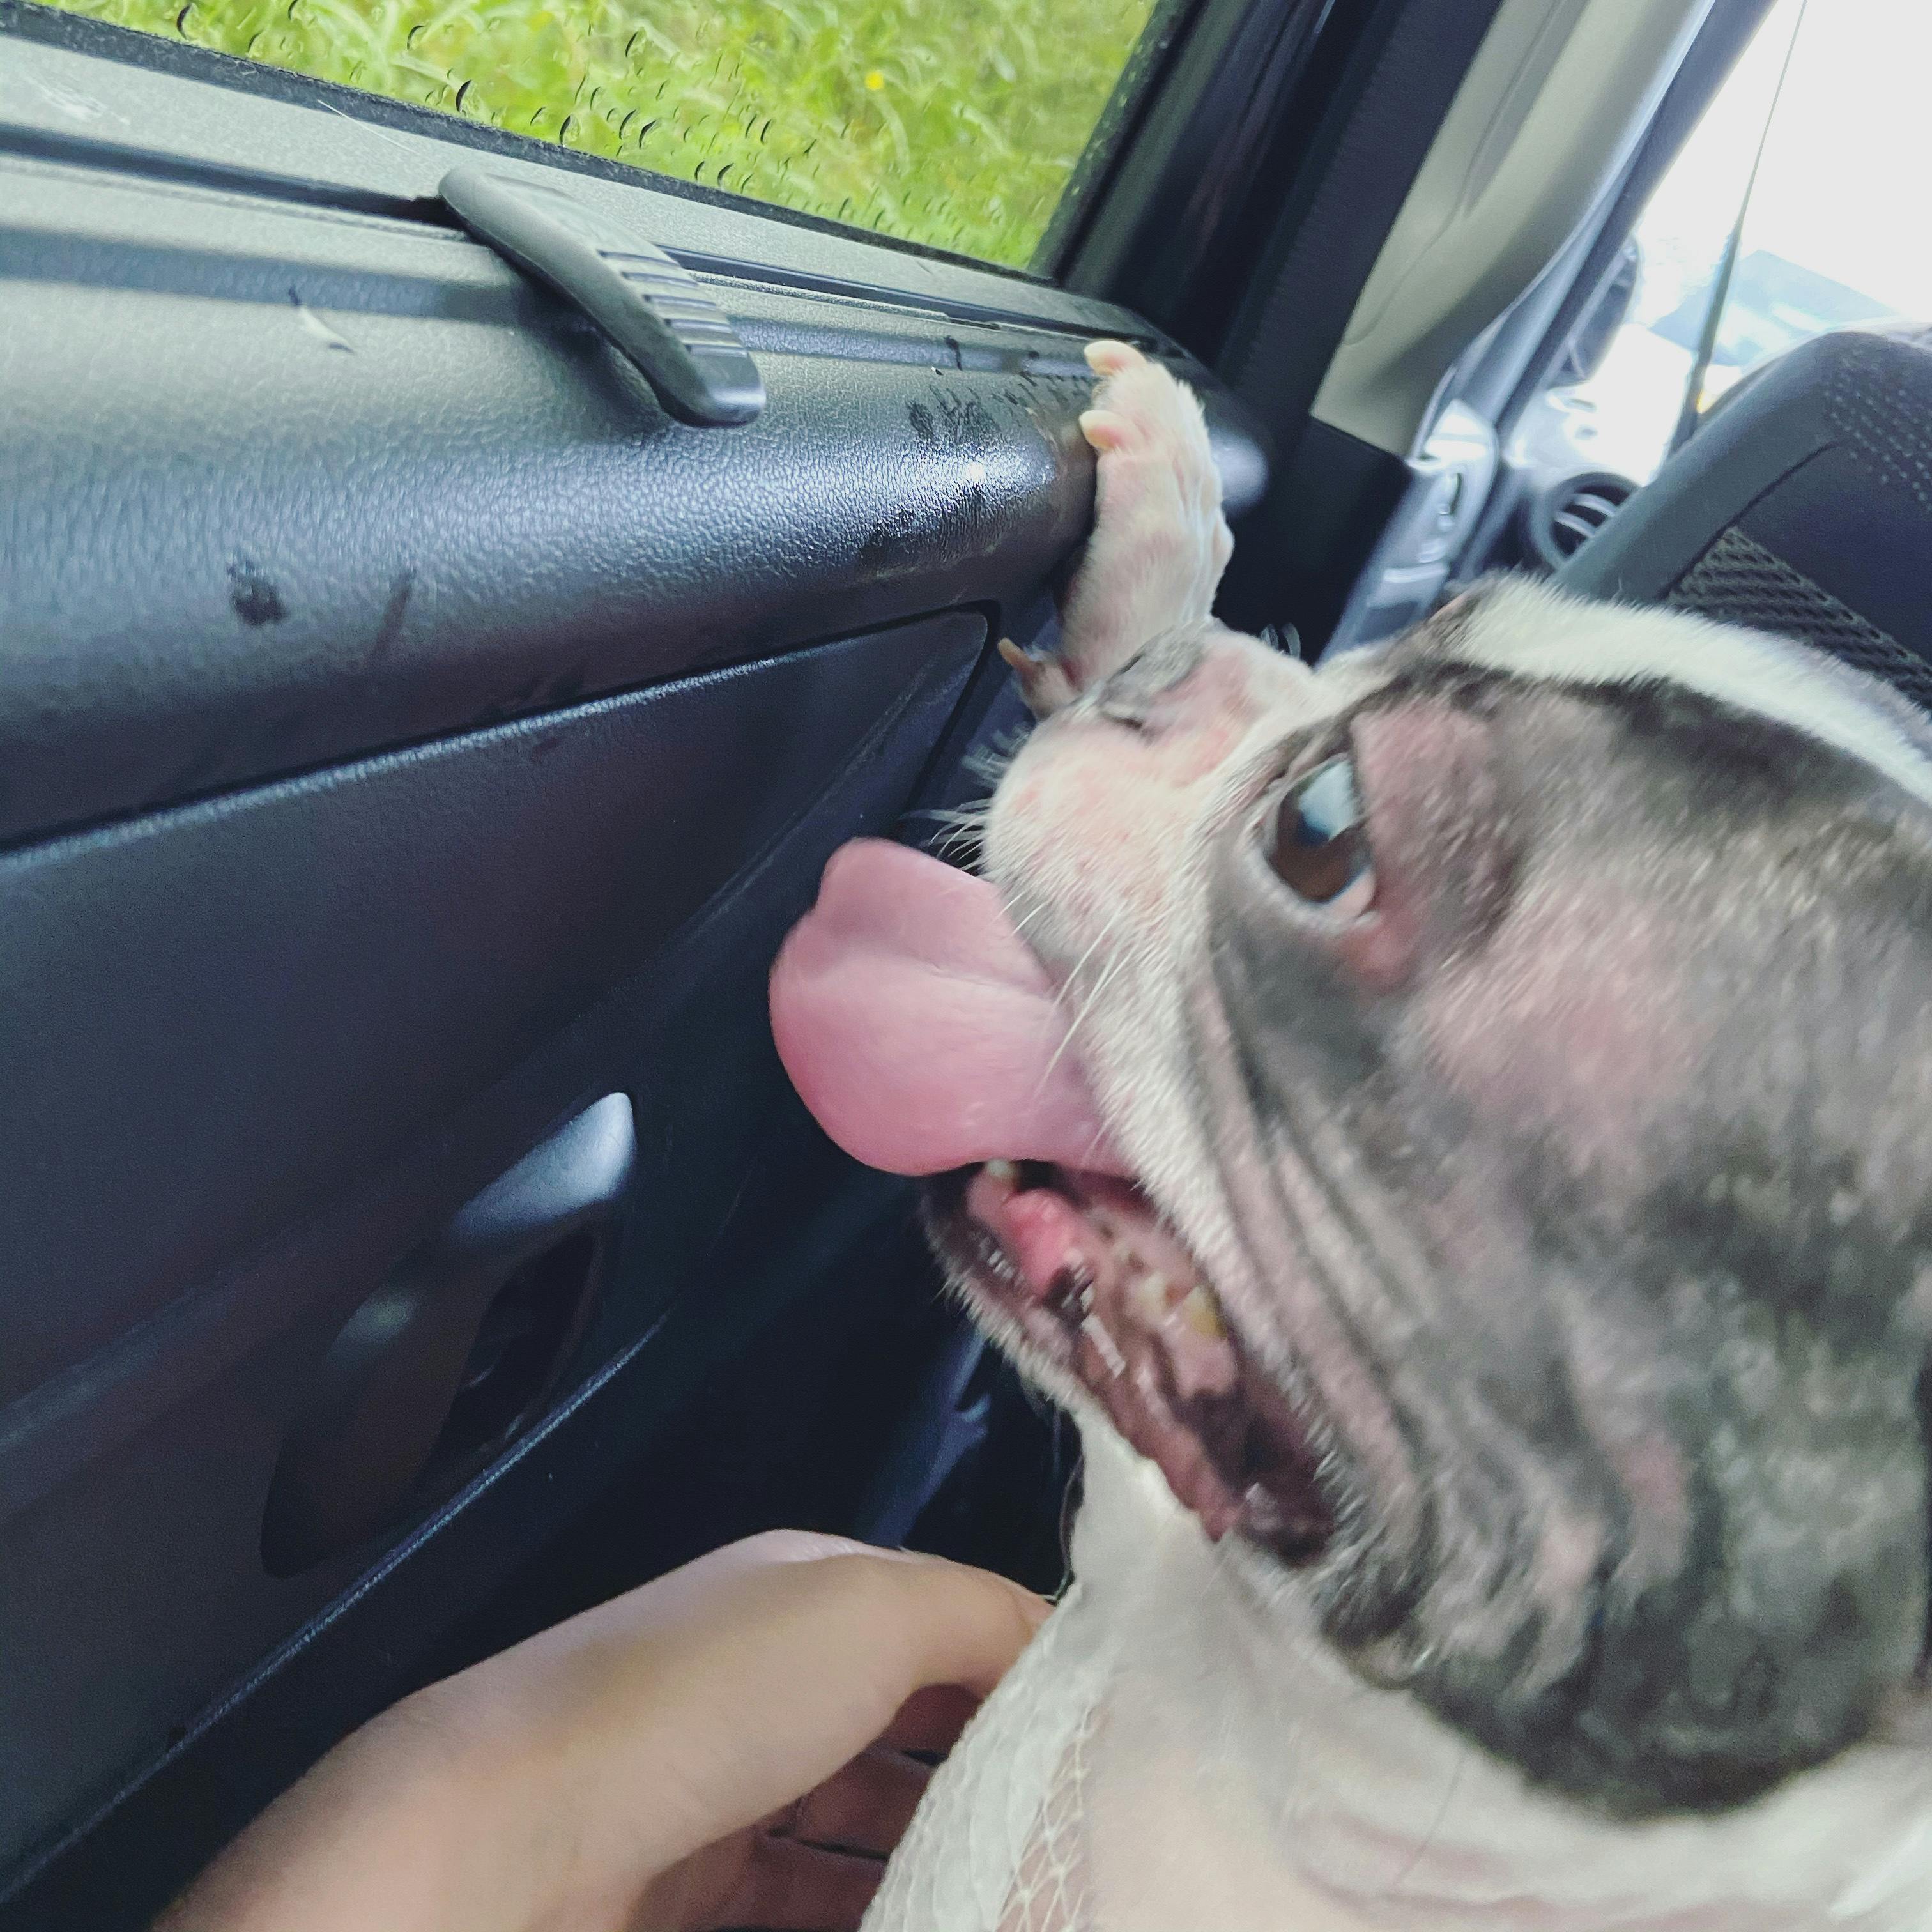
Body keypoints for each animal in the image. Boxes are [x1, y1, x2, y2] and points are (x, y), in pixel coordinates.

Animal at [770, 343, 1932, 1928]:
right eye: (1423, 627)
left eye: (1325, 829)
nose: (1167, 681)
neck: (1263, 1716)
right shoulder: (1134, 1542)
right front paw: (1163, 530)